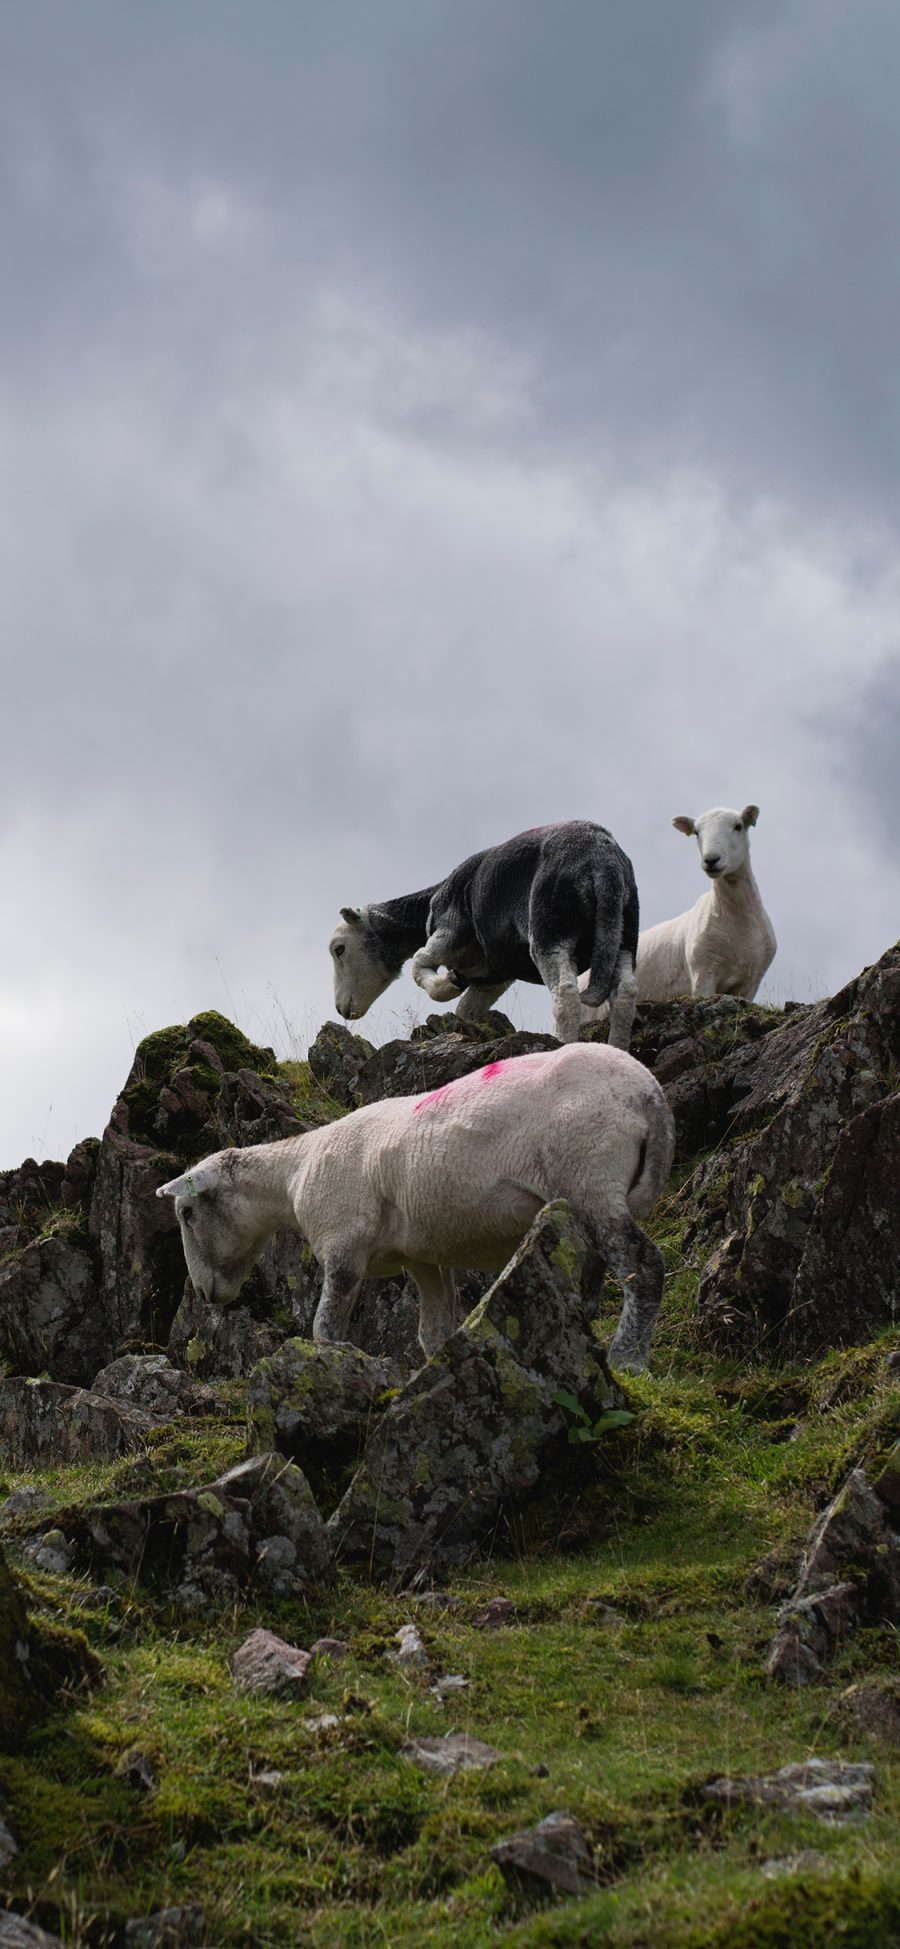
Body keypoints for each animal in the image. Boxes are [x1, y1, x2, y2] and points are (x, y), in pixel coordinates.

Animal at [156, 1052, 674, 1372]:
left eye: (186, 1214)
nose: (203, 1294)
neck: (293, 1172)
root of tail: (650, 1094)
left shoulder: (343, 1242)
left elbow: (325, 1329)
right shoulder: (424, 1257)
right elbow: (433, 1331)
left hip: (589, 1172)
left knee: (644, 1266)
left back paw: (628, 1359)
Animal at [331, 822, 638, 1052]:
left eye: (339, 949)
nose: (341, 1009)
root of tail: (602, 856)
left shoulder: (449, 931)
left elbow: (418, 965)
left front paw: (447, 984)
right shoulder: (490, 978)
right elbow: (465, 1010)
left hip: (550, 929)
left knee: (565, 991)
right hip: (622, 937)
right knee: (624, 994)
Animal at [580, 799, 775, 1013]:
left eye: (738, 826)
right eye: (697, 832)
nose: (711, 859)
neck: (736, 918)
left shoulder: (750, 982)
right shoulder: (703, 974)